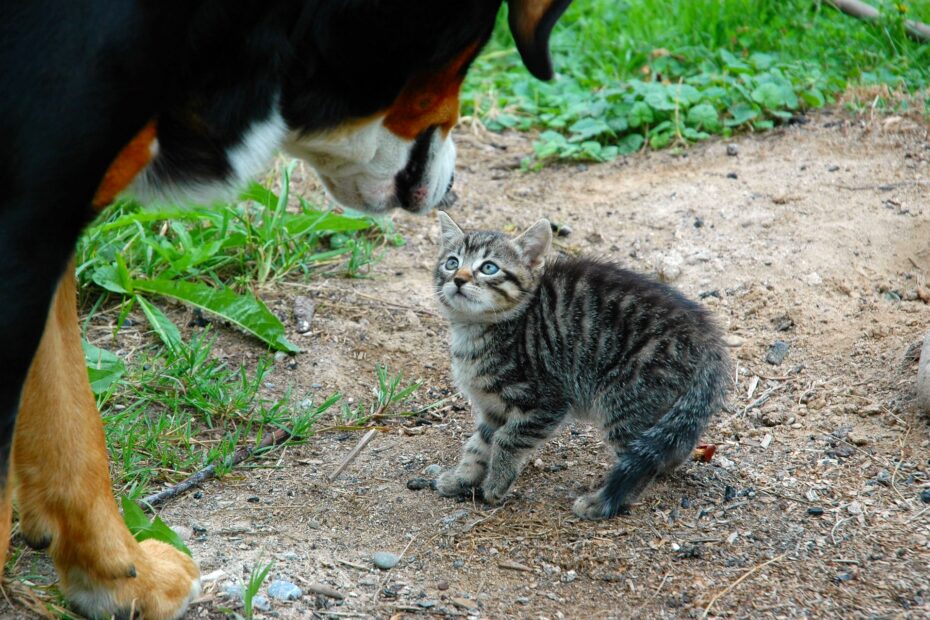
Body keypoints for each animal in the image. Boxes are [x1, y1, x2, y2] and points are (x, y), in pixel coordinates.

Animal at [432, 211, 728, 520]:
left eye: (488, 268)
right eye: (452, 262)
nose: (459, 279)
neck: (475, 330)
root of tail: (707, 338)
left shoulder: (547, 400)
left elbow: (507, 439)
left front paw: (496, 484)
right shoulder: (493, 408)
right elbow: (478, 444)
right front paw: (462, 477)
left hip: (626, 400)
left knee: (640, 460)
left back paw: (601, 503)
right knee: (670, 445)